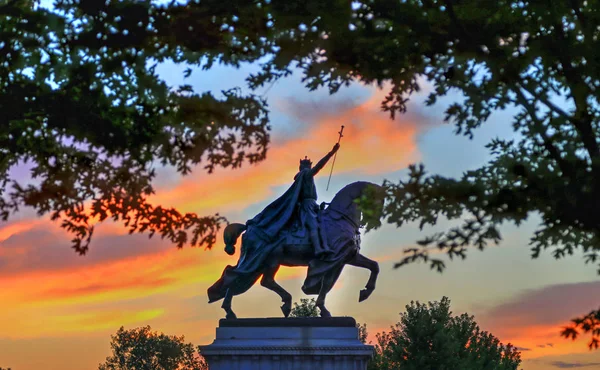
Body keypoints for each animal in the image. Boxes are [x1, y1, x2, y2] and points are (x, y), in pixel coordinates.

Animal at [207, 181, 384, 320]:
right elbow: (326, 283)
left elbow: (374, 266)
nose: (372, 222)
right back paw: (231, 312)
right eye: (377, 200)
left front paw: (365, 292)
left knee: (257, 279)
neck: (340, 218)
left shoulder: (347, 257)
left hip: (269, 261)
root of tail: (248, 228)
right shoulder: (332, 259)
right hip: (263, 259)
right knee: (236, 276)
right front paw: (324, 310)